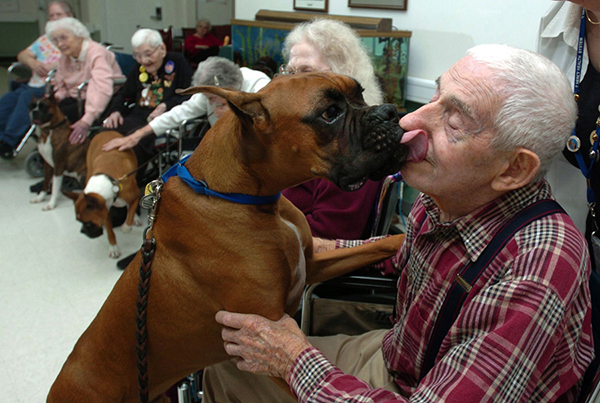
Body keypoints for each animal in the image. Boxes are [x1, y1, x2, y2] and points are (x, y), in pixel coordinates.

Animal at [63, 131, 142, 260]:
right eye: (79, 221)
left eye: (88, 223)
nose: (82, 231)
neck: (111, 183)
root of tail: (105, 131)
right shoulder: (104, 212)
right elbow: (110, 232)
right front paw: (113, 248)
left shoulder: (136, 196)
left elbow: (131, 212)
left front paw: (127, 225)